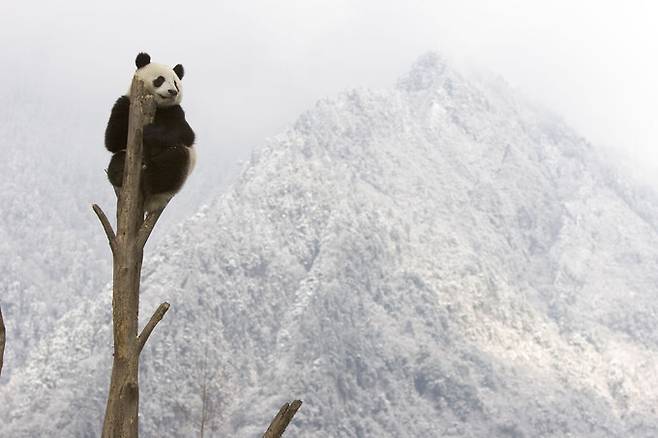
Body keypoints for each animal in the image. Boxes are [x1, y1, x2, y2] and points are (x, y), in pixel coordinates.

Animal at [105, 52, 196, 212]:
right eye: (160, 79)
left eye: (175, 83)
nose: (173, 91)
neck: (158, 106)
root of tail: (151, 203)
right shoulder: (125, 102)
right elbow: (112, 140)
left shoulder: (175, 111)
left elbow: (186, 134)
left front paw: (150, 133)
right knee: (118, 159)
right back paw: (121, 171)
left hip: (179, 175)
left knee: (174, 160)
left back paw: (149, 179)